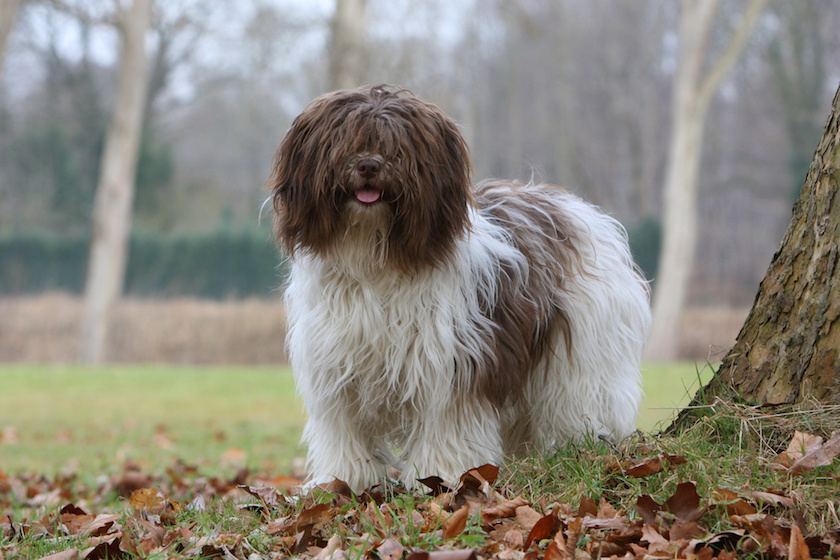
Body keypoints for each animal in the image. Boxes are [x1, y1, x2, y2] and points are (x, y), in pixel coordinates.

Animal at [270, 85, 648, 492]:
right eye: (345, 142)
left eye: (397, 148)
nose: (369, 165)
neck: (376, 260)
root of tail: (570, 206)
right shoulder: (335, 369)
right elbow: (344, 433)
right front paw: (344, 483)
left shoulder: (451, 363)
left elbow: (445, 426)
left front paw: (444, 477)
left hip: (585, 349)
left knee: (583, 399)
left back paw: (585, 448)